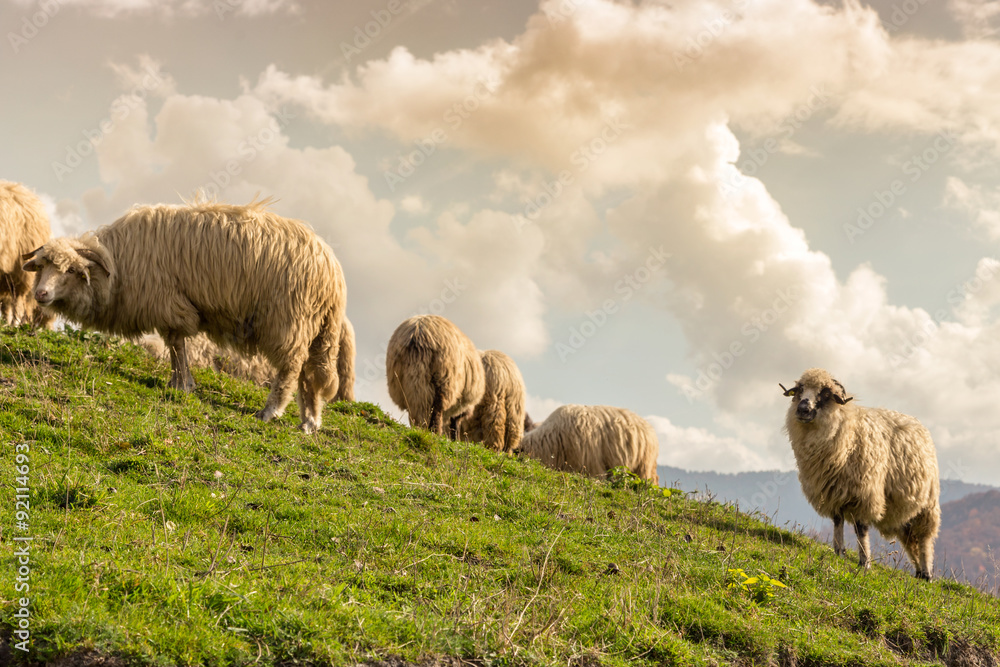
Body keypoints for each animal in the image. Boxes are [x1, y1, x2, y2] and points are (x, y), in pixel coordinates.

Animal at [22, 199, 347, 433]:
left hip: (288, 321)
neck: (119, 265)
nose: (41, 294)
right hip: (314, 329)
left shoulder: (168, 304)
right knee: (308, 374)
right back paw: (309, 422)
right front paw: (179, 383)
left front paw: (182, 385)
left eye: (70, 270)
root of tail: (331, 270)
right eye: (42, 267)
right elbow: (175, 346)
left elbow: (176, 345)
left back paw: (271, 412)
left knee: (290, 369)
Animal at [781, 368, 941, 580]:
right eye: (799, 389)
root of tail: (916, 423)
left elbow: (861, 529)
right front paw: (838, 552)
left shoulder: (865, 493)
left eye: (825, 393)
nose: (802, 409)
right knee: (909, 538)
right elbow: (837, 521)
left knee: (924, 539)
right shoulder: (833, 492)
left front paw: (865, 563)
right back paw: (919, 573)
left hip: (927, 505)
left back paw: (927, 573)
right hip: (902, 511)